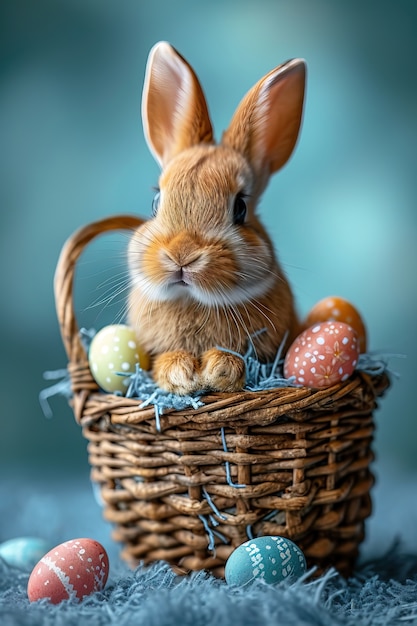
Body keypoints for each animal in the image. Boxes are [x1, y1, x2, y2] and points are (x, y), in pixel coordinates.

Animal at [127, 42, 306, 394]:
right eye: (155, 201)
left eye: (240, 208)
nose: (182, 255)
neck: (194, 301)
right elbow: (160, 362)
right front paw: (181, 374)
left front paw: (219, 369)